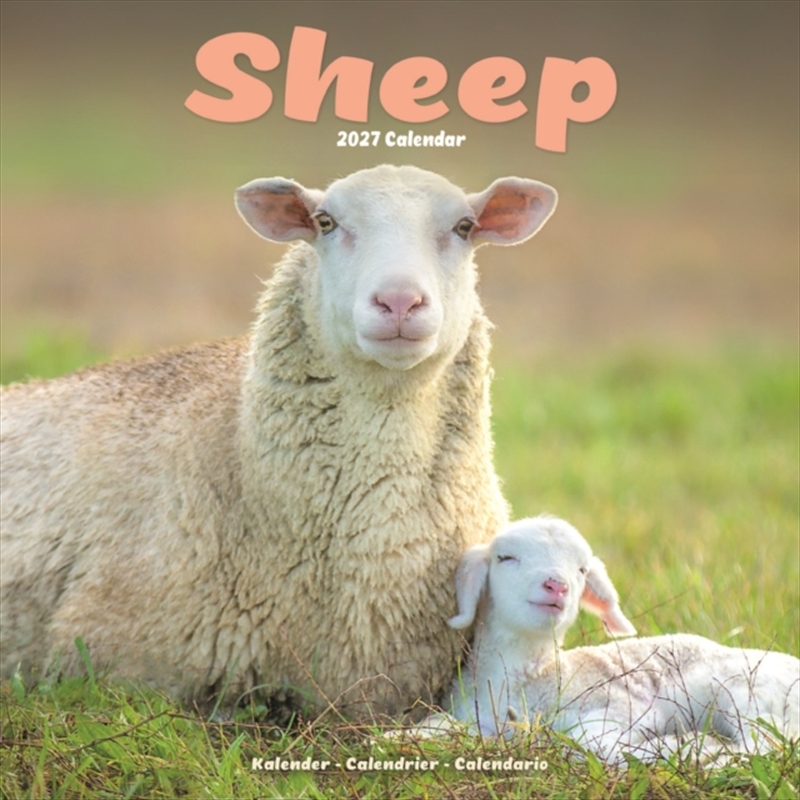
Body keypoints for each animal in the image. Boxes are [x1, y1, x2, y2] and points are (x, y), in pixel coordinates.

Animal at [441, 516, 800, 762]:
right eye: (505, 558)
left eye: (582, 570)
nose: (557, 586)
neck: (533, 678)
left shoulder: (621, 707)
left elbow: (591, 740)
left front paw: (668, 744)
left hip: (748, 693)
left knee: (770, 744)